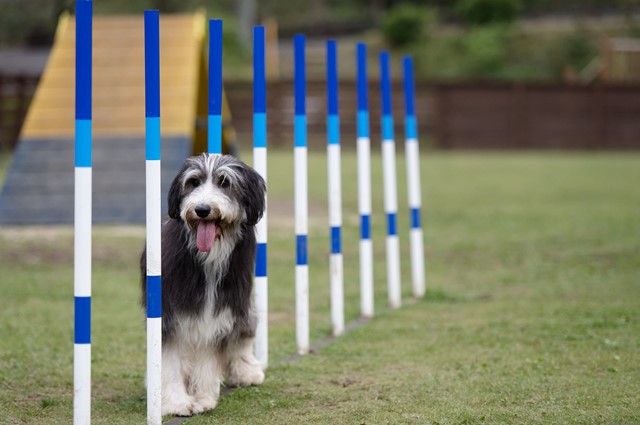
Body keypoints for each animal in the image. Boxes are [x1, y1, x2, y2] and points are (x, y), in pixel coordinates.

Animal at [141, 152, 266, 414]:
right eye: (194, 182)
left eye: (225, 182)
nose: (202, 209)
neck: (207, 257)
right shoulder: (168, 314)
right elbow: (169, 360)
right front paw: (177, 402)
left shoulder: (221, 310)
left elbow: (209, 355)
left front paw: (203, 397)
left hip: (242, 307)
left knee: (244, 333)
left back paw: (247, 370)